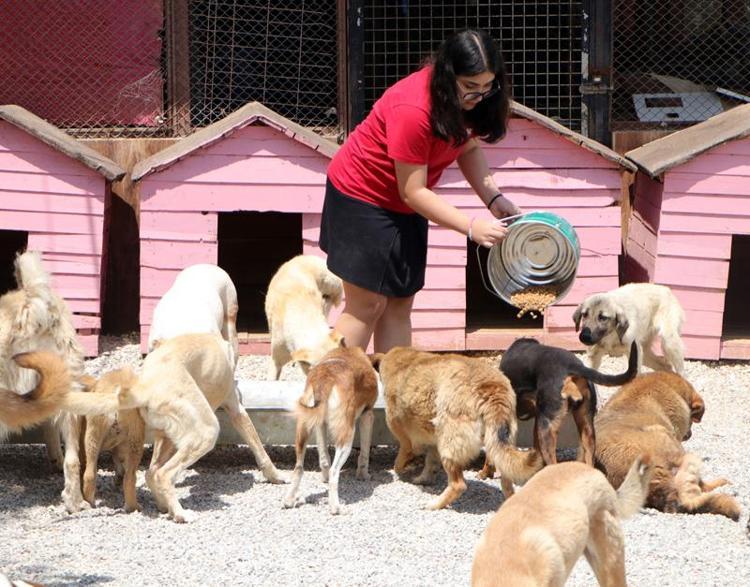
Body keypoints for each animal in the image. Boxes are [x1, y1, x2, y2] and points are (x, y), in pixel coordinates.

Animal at [114, 333, 285, 523]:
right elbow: (258, 446)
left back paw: (166, 508)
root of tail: (144, 389)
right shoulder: (236, 408)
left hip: (167, 436)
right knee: (163, 474)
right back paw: (181, 514)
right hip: (206, 431)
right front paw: (276, 475)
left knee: (150, 473)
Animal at [283, 344, 378, 514]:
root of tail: (325, 379)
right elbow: (364, 453)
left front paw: (324, 478)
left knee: (299, 467)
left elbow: (323, 457)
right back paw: (335, 507)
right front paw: (363, 475)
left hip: (303, 429)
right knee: (335, 471)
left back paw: (289, 500)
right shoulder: (367, 415)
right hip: (347, 434)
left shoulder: (320, 423)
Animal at [373, 347, 543, 510]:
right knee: (506, 483)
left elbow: (403, 455)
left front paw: (400, 469)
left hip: (450, 445)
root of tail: (492, 389)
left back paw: (436, 504)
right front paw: (423, 478)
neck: (405, 359)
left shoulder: (402, 434)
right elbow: (430, 462)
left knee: (458, 485)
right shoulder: (434, 440)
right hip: (497, 444)